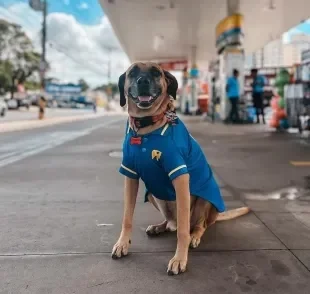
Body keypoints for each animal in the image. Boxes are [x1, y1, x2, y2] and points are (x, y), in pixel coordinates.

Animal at [111, 62, 249, 276]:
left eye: (156, 72)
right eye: (132, 72)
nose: (143, 81)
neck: (146, 126)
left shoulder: (181, 177)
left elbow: (183, 231)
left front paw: (179, 259)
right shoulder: (130, 175)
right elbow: (127, 217)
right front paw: (122, 243)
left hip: (204, 202)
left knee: (196, 225)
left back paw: (195, 236)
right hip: (153, 193)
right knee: (172, 223)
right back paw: (160, 226)